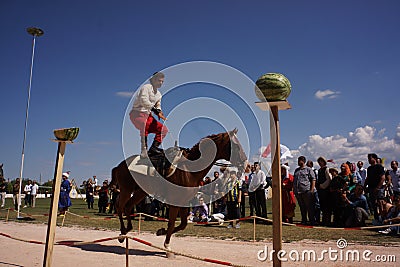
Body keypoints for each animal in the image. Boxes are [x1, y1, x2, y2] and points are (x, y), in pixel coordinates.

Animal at [110, 129, 247, 256]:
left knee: (127, 207)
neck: (189, 170)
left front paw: (161, 232)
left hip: (140, 192)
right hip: (127, 190)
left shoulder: (183, 202)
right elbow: (172, 223)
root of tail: (120, 165)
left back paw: (126, 230)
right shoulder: (175, 202)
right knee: (120, 207)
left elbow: (182, 224)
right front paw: (167, 246)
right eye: (235, 145)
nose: (245, 161)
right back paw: (122, 233)